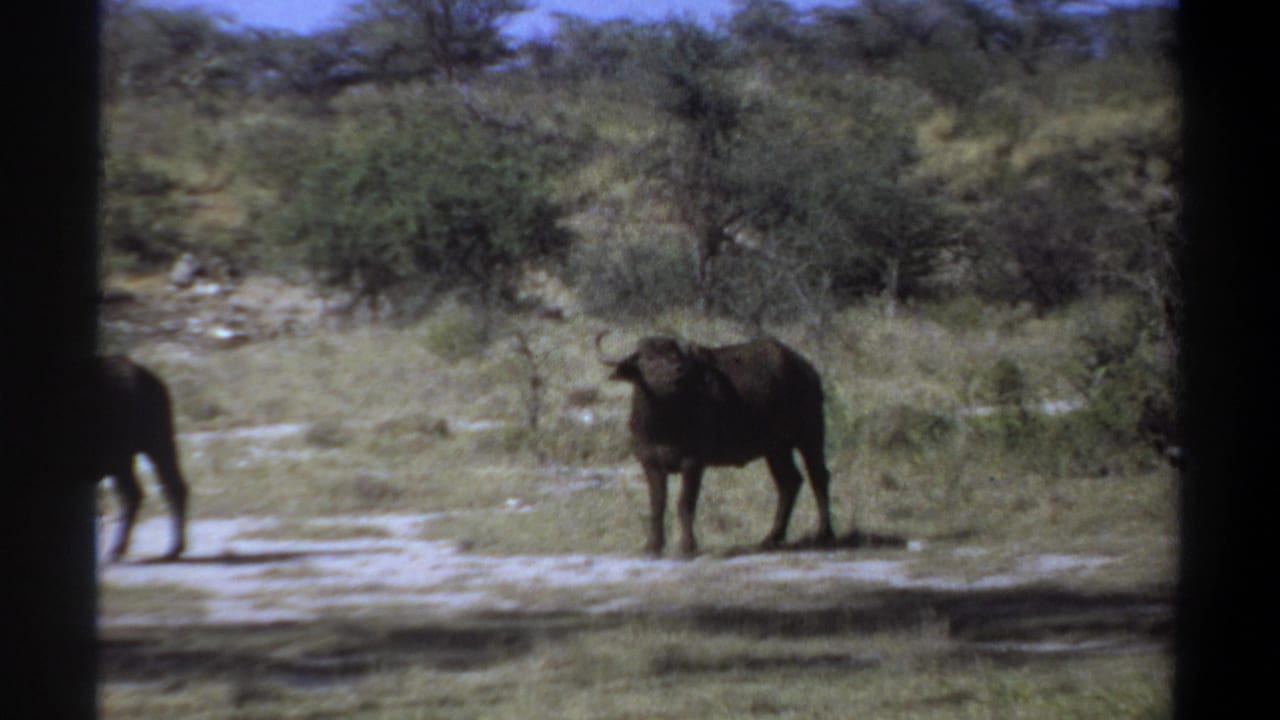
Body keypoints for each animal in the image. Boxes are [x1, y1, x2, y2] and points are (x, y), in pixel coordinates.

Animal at [598, 333, 835, 556]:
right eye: (648, 358)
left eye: (675, 355)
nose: (677, 372)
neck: (662, 423)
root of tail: (806, 368)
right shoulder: (650, 462)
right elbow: (657, 504)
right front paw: (652, 546)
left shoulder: (693, 462)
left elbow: (685, 503)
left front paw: (687, 546)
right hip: (777, 449)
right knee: (790, 482)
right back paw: (771, 538)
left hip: (810, 435)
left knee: (818, 477)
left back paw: (824, 534)